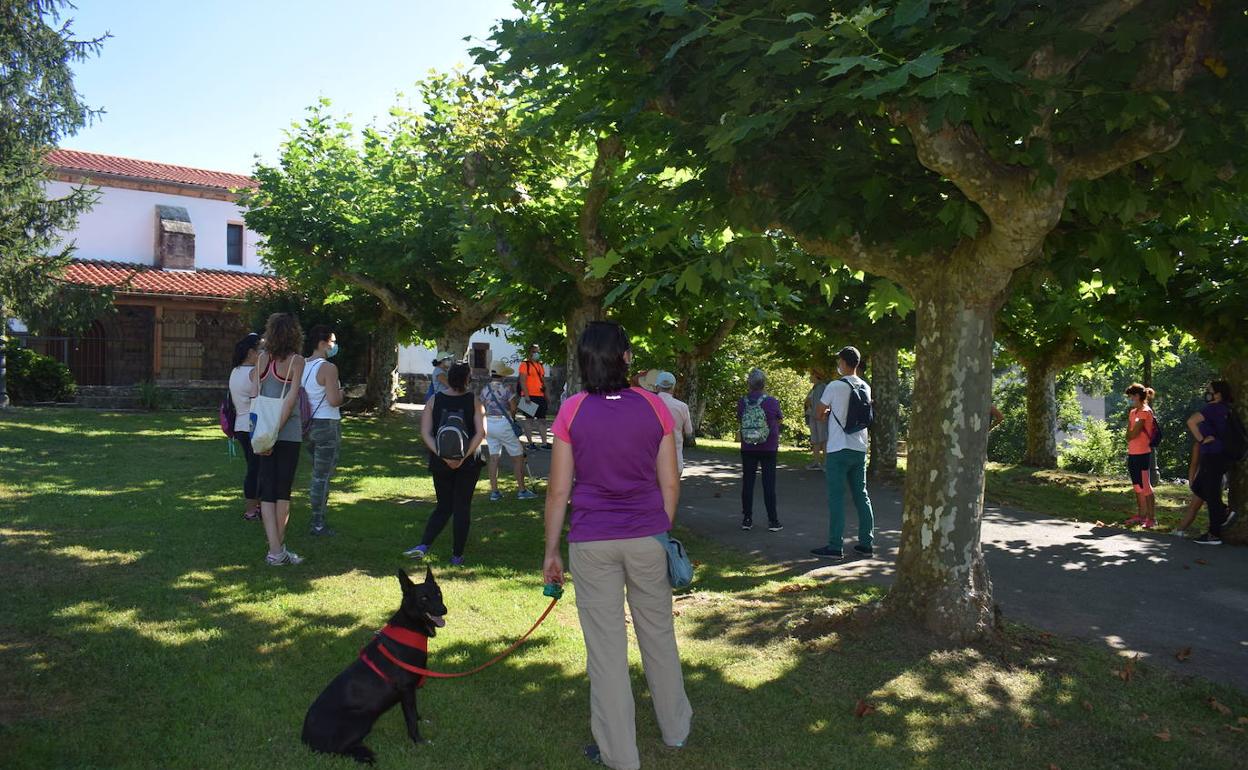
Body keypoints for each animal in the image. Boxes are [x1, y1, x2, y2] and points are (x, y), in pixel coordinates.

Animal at [303, 564, 449, 763]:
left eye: (438, 593)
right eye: (424, 598)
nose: (443, 610)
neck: (410, 627)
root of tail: (305, 737)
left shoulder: (409, 692)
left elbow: (414, 713)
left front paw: (421, 721)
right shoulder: (406, 689)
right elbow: (411, 718)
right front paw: (418, 741)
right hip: (362, 718)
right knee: (339, 749)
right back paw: (366, 756)